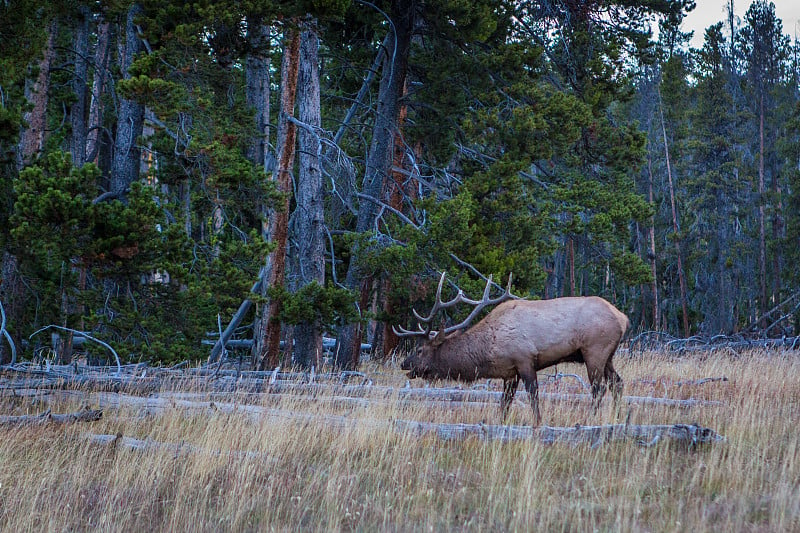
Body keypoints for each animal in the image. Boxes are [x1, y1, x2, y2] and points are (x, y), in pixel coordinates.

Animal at [396, 272, 632, 426]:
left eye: (420, 350)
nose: (404, 363)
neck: (488, 349)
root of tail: (623, 318)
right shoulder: (509, 373)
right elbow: (505, 403)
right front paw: (501, 423)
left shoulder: (524, 360)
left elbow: (533, 396)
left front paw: (538, 423)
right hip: (608, 356)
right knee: (618, 384)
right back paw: (618, 418)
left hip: (594, 351)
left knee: (599, 389)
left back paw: (588, 420)